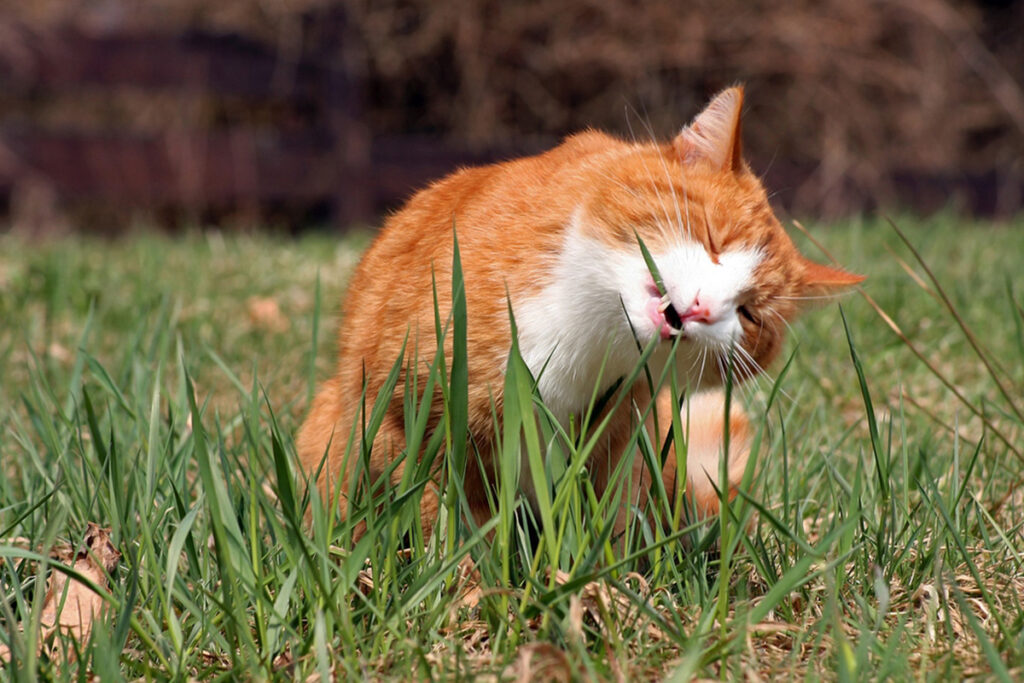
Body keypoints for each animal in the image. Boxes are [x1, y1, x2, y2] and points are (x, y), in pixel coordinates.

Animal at [299, 87, 864, 540]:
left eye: (750, 314)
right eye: (713, 239)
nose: (704, 308)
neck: (586, 334)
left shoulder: (616, 445)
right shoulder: (414, 427)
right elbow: (445, 526)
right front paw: (470, 591)